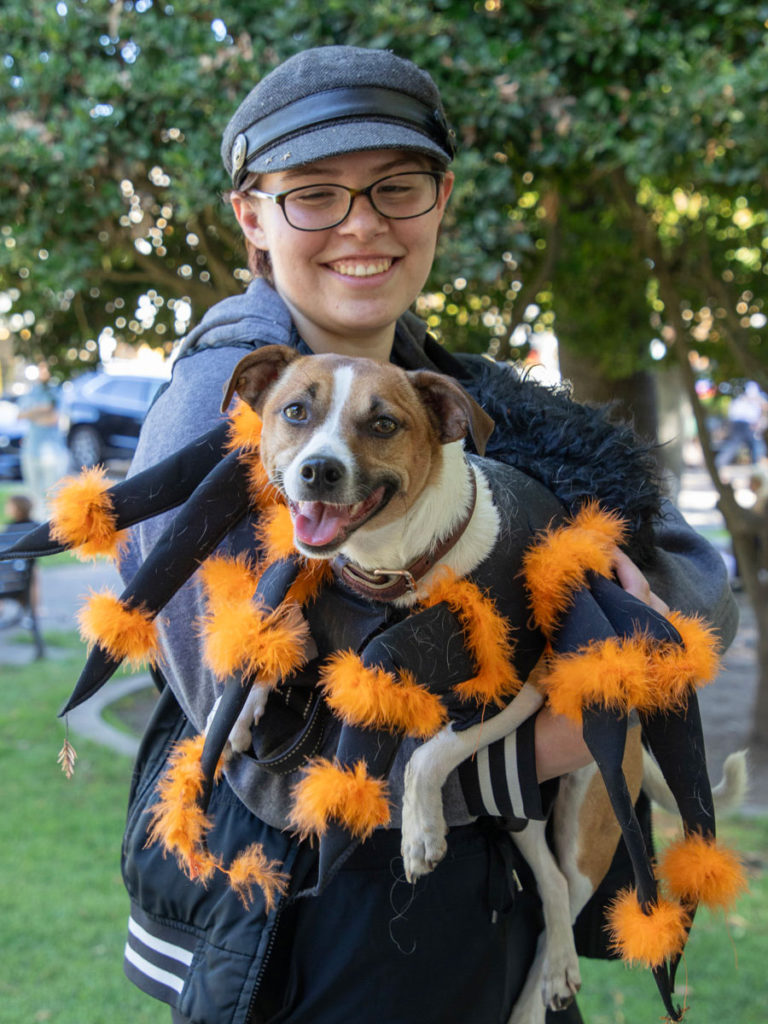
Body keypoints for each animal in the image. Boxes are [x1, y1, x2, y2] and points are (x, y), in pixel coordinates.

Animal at [221, 346, 745, 1024]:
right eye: (295, 412)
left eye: (383, 423)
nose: (319, 471)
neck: (399, 574)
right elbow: (281, 642)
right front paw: (241, 706)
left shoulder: (515, 691)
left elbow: (431, 754)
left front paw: (420, 832)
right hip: (516, 808)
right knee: (549, 885)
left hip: (590, 810)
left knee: (568, 890)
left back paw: (540, 992)